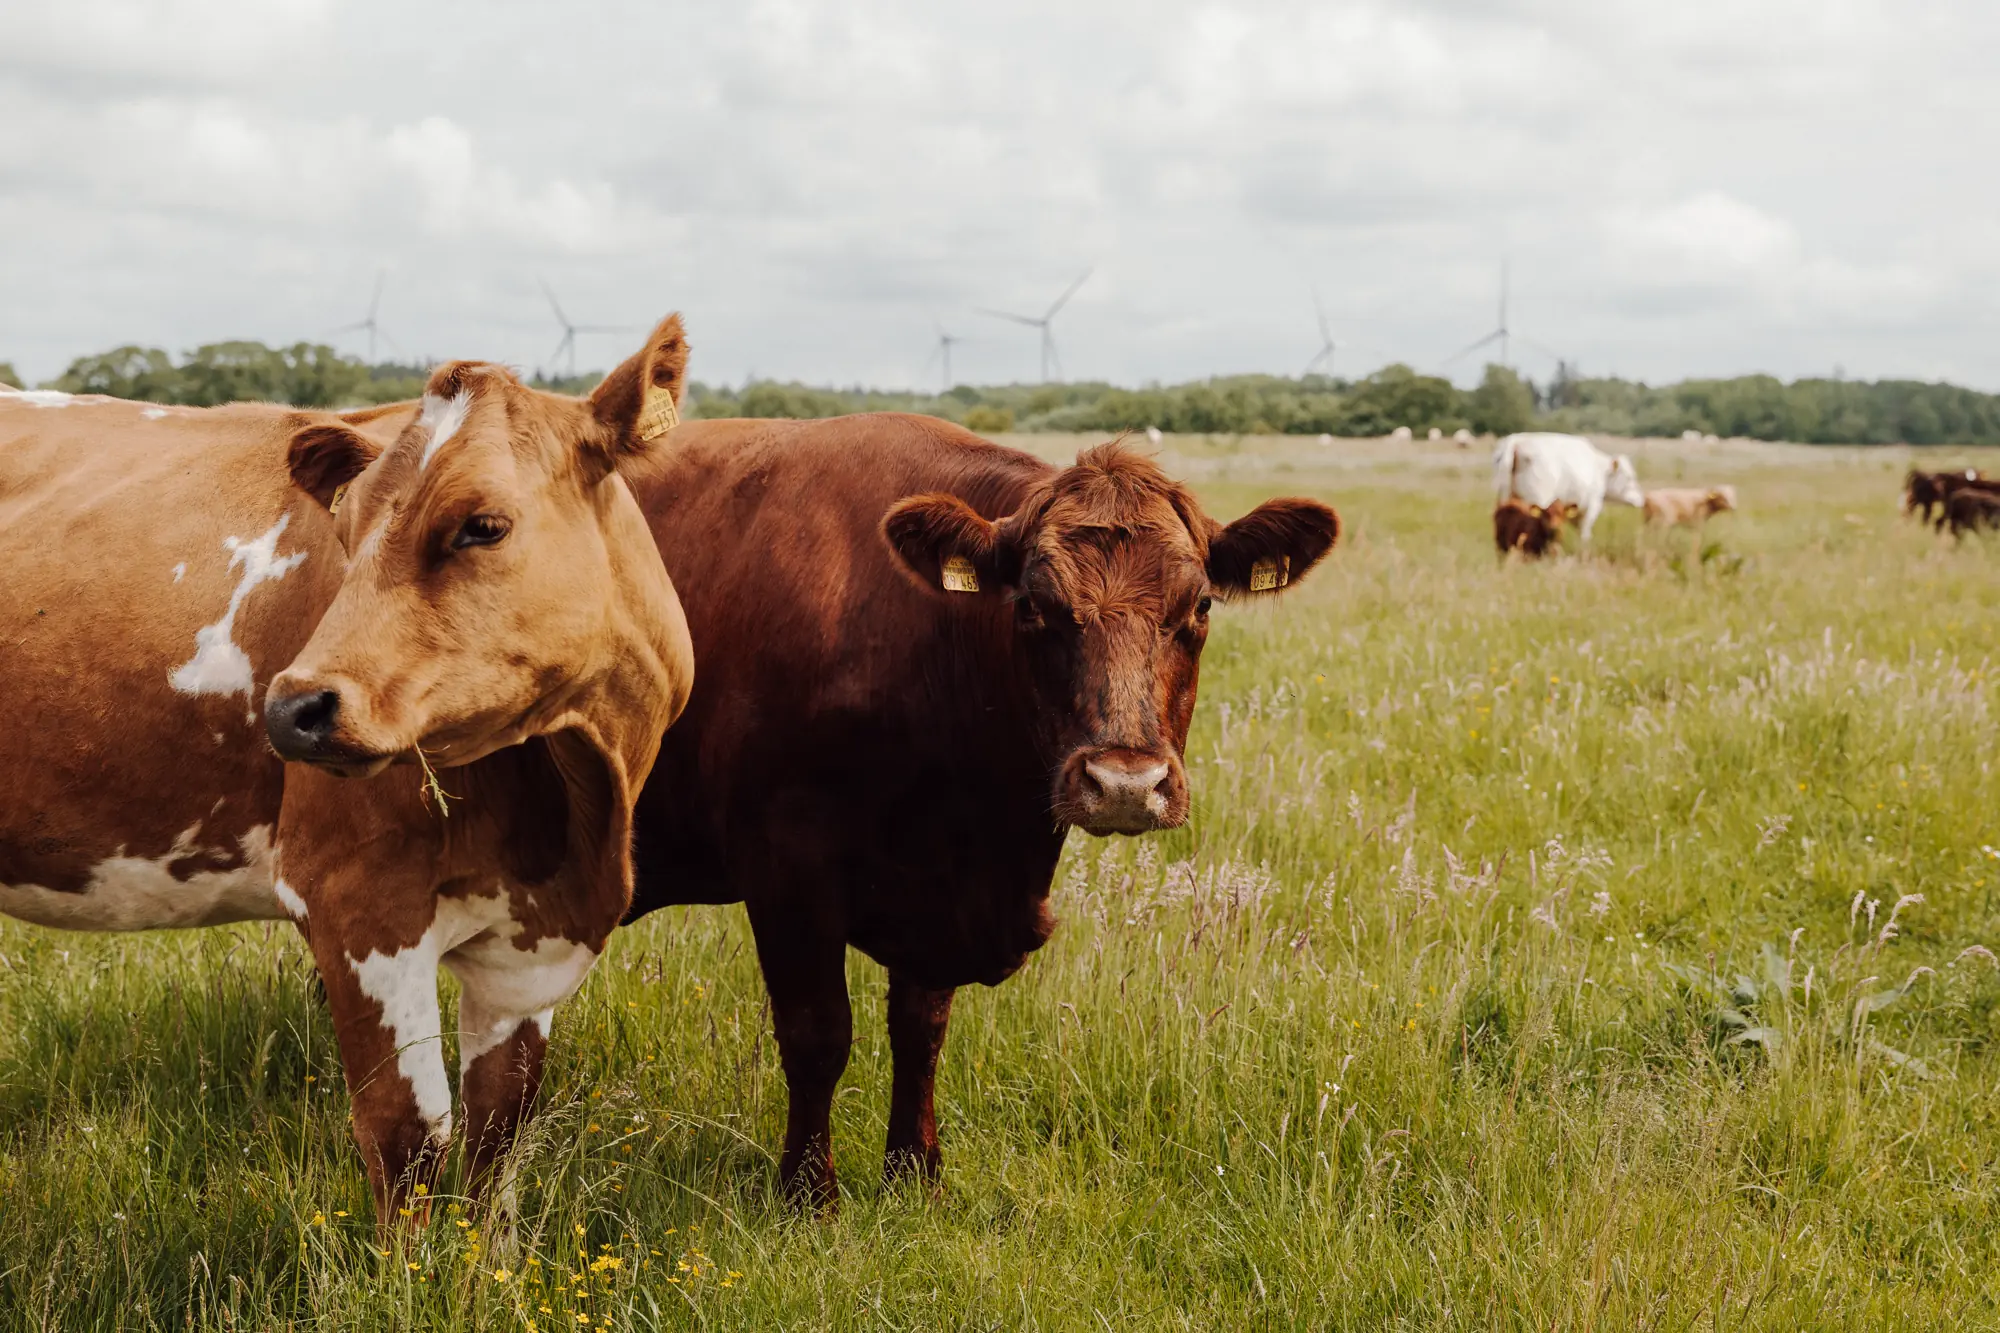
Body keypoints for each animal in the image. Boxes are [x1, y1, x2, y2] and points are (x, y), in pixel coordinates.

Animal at [0, 316, 696, 1216]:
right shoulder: (354, 899)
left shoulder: (529, 933)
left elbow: (499, 1131)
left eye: (483, 524)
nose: (293, 708)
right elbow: (411, 1142)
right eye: (347, 530)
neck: (574, 812)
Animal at [624, 418, 1344, 1200]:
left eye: (1202, 606)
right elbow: (818, 1034)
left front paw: (915, 1174)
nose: (1125, 782)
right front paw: (809, 1194)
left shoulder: (941, 883)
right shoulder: (785, 866)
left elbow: (921, 1029)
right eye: (1032, 606)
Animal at [1504, 434, 1640, 544]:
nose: (1640, 499)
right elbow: (1585, 531)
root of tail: (1517, 443)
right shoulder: (1592, 506)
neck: (1600, 469)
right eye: (1629, 477)